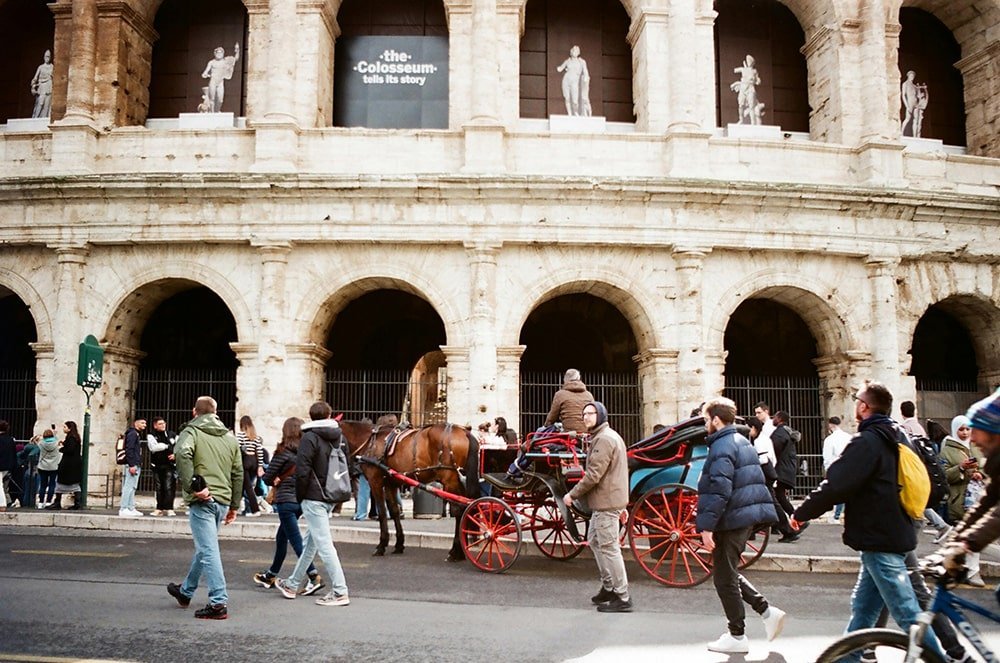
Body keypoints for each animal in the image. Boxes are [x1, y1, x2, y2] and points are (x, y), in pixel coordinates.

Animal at [340, 422, 480, 564]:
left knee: (458, 510)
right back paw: (461, 550)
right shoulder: (391, 483)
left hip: (450, 481)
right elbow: (394, 511)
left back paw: (455, 551)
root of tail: (465, 432)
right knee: (466, 508)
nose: (351, 472)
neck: (370, 441)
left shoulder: (375, 482)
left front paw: (381, 545)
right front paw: (399, 544)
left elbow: (383, 513)